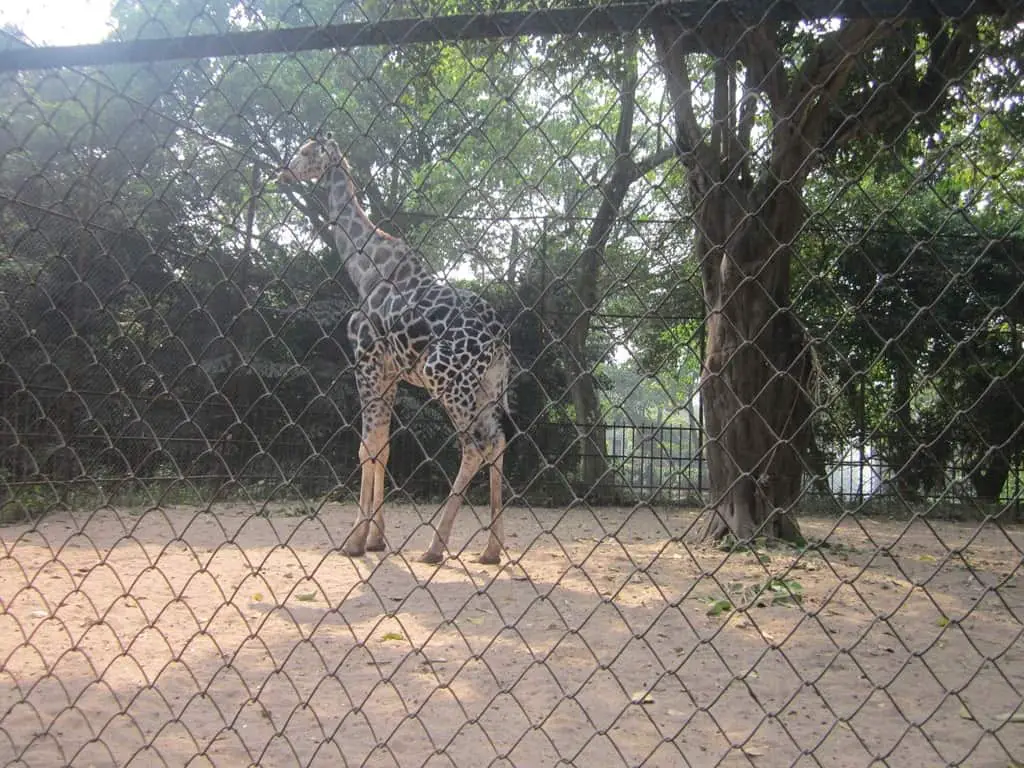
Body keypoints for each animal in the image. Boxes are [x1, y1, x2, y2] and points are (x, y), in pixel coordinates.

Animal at [276, 134, 512, 565]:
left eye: (305, 151)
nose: (282, 172)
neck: (365, 271)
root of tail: (501, 338)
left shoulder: (366, 361)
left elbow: (366, 448)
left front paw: (354, 540)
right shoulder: (390, 374)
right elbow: (381, 449)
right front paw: (375, 538)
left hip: (447, 378)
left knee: (474, 446)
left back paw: (435, 547)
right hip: (485, 386)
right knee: (497, 441)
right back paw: (490, 550)